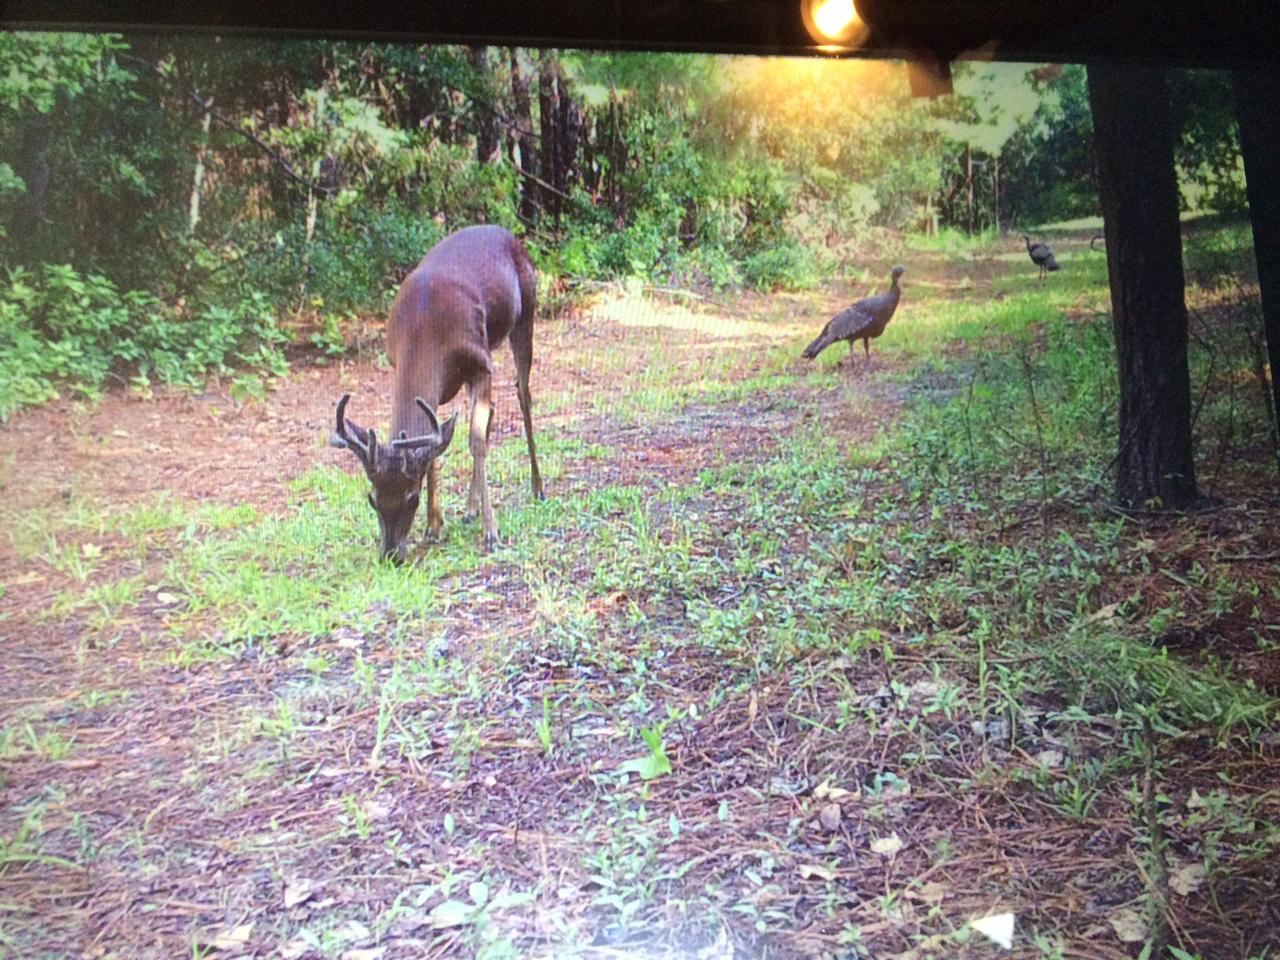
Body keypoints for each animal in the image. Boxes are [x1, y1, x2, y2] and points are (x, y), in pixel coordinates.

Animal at [330, 224, 545, 562]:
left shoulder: (481, 362)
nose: (391, 555)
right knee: (491, 410)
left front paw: (491, 532)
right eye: (372, 498)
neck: (424, 329)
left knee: (523, 398)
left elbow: (475, 441)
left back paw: (537, 487)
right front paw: (433, 525)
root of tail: (507, 233)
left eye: (412, 498)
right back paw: (470, 508)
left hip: (526, 315)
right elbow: (434, 450)